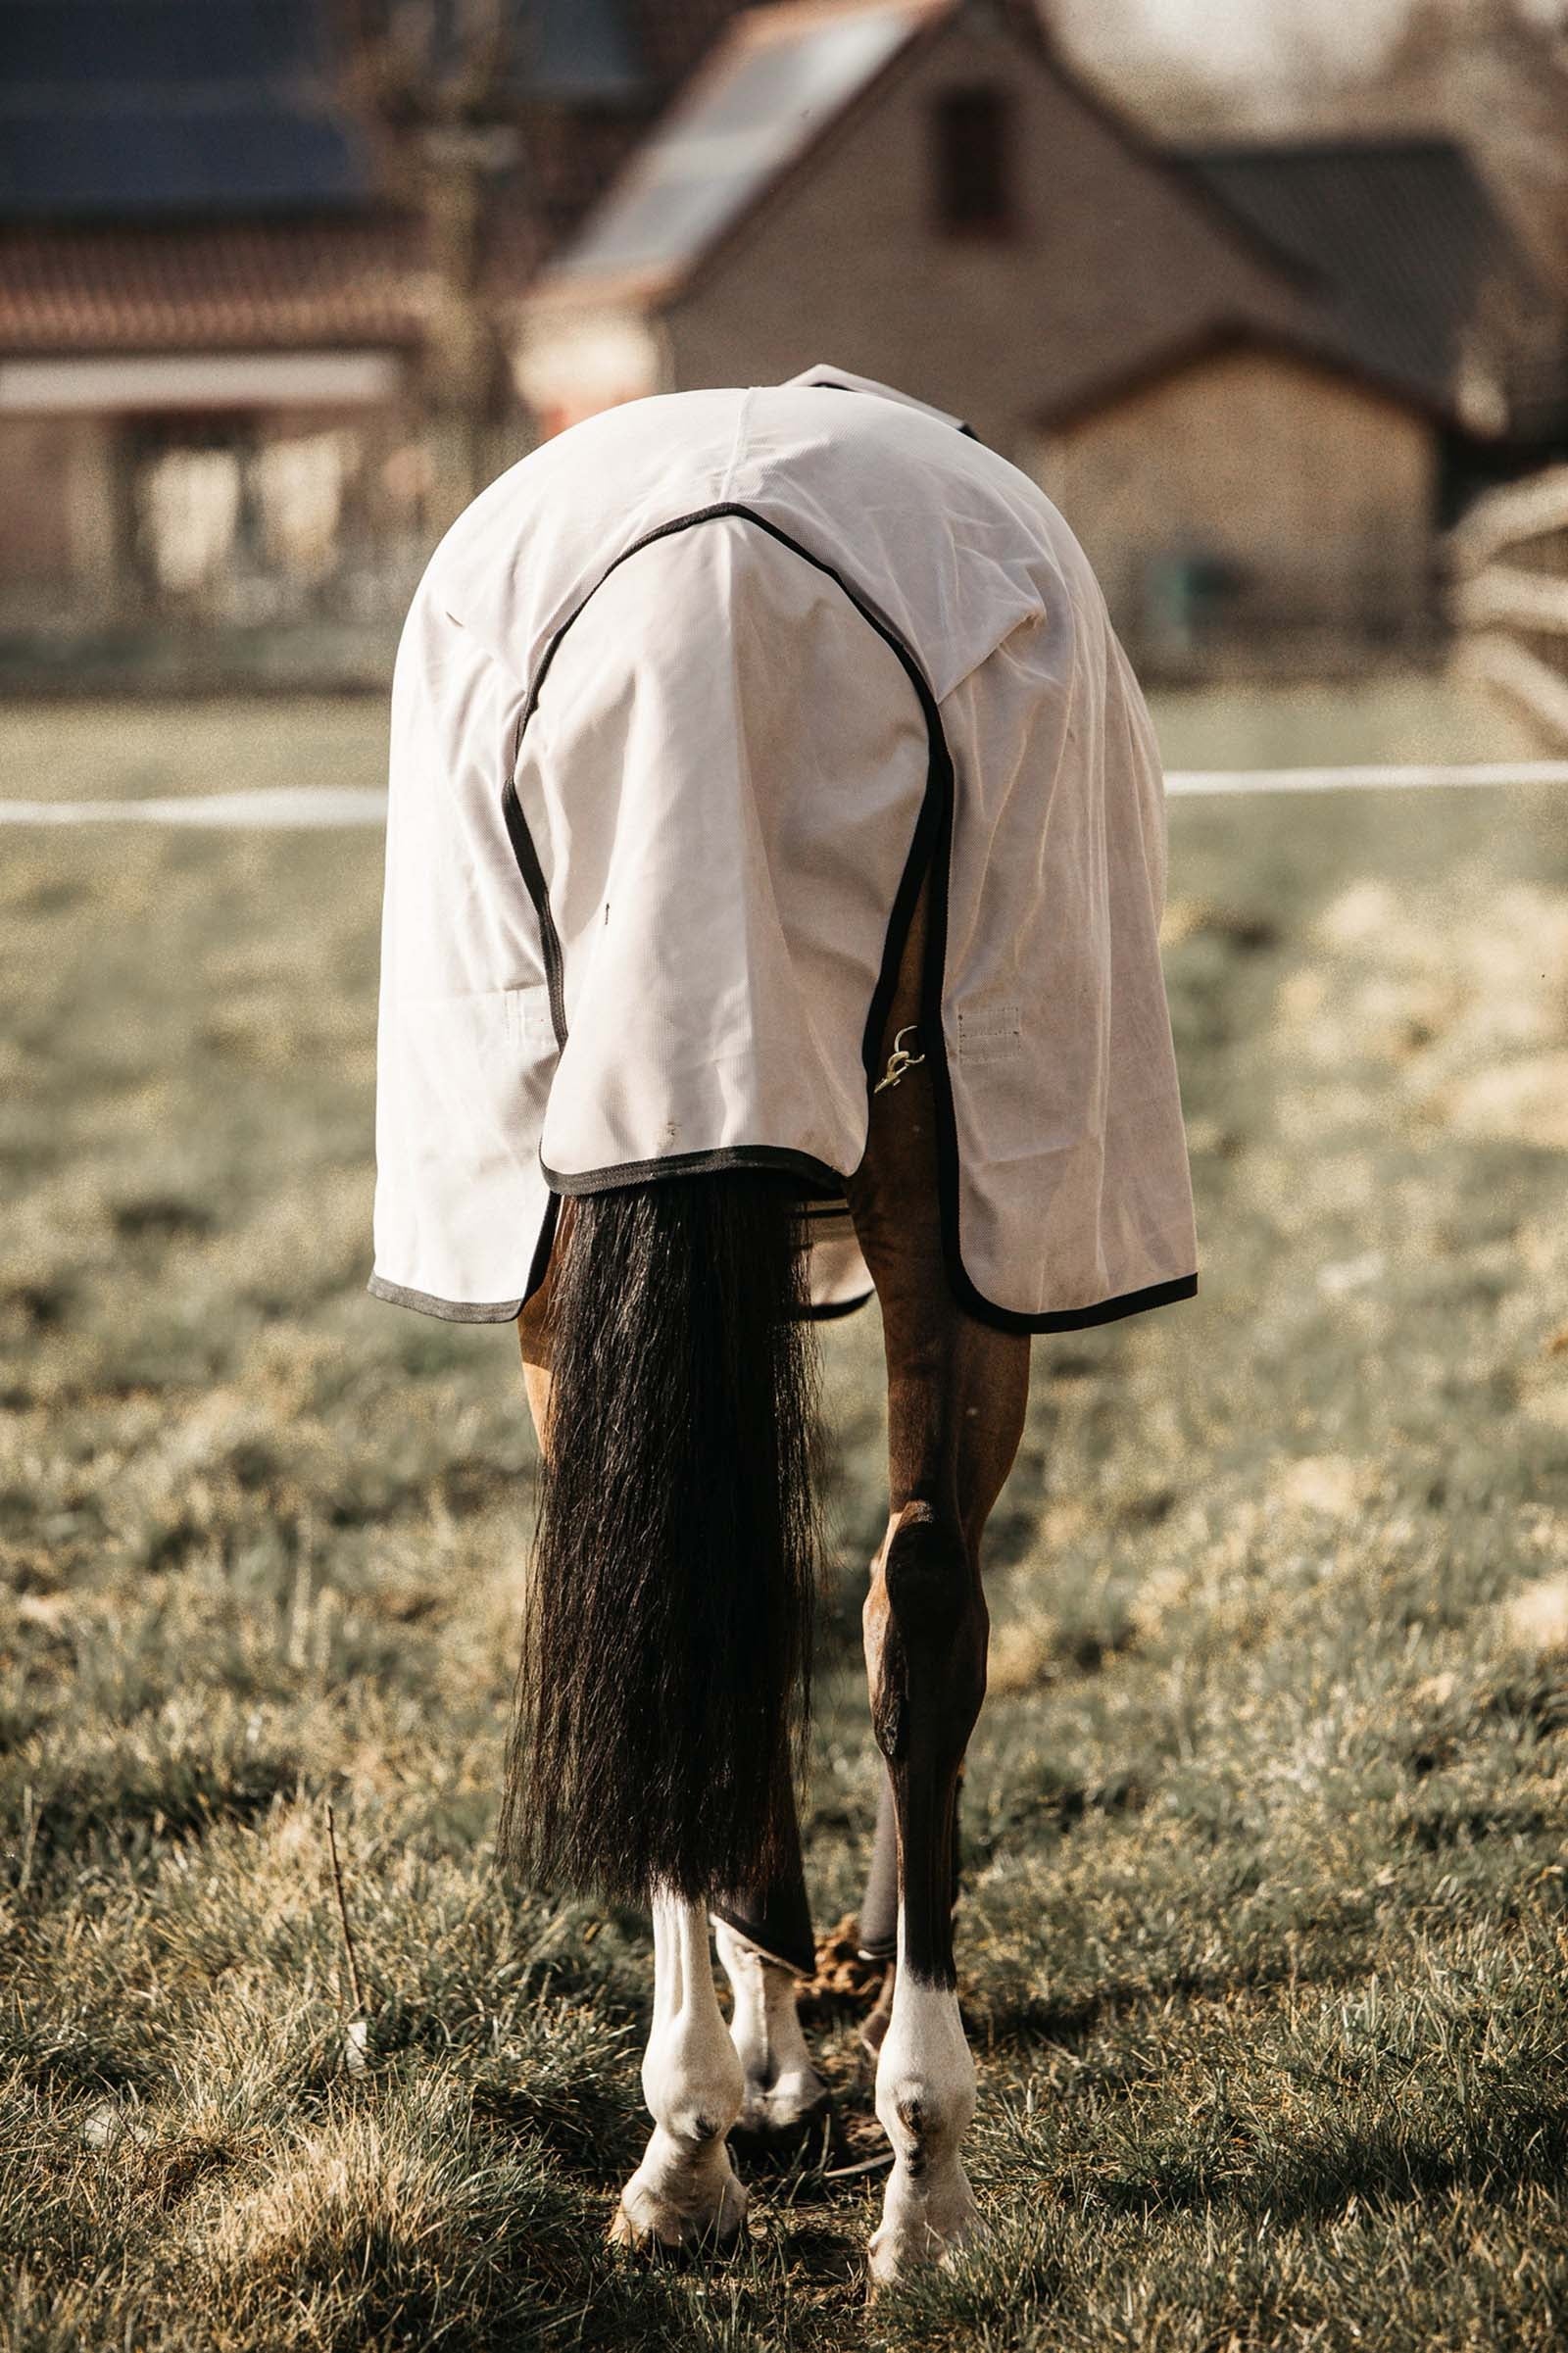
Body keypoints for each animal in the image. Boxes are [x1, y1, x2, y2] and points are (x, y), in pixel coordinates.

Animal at [370, 366, 1196, 2284]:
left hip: (576, 1229)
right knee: (923, 1607)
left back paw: (686, 2147)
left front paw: (751, 2064)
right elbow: (898, 1627)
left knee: (677, 1613)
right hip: (943, 1216)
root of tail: (725, 602)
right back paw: (920, 2165)